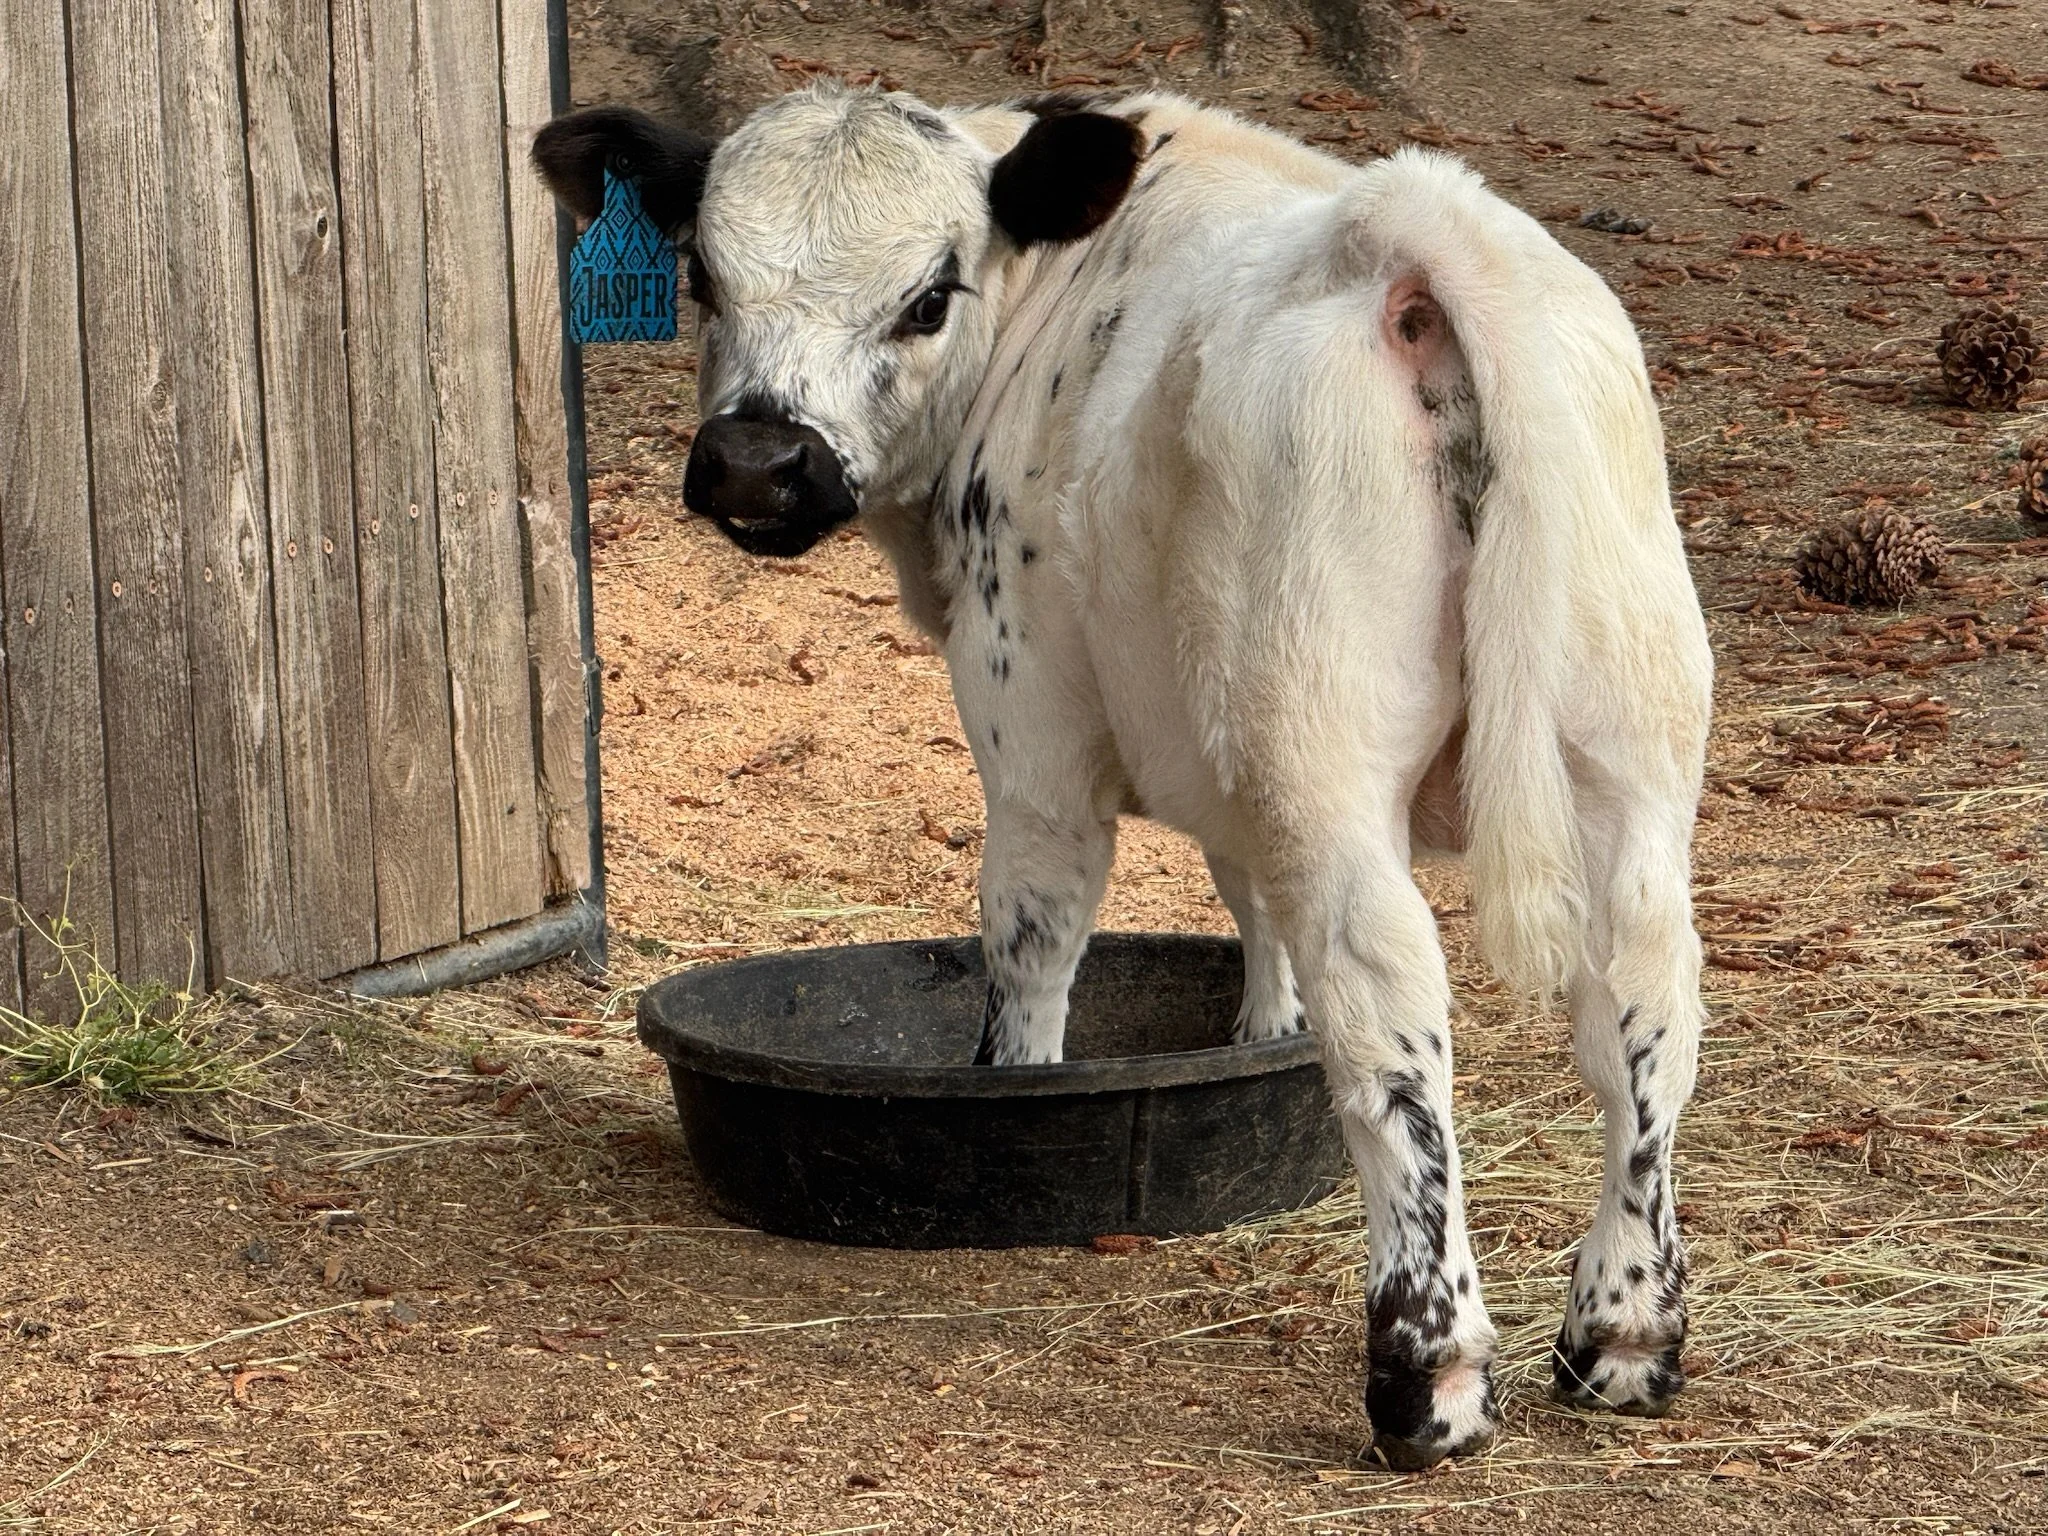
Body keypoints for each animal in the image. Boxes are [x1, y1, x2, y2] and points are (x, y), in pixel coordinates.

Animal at [534, 85, 1714, 1470]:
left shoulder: (1035, 742)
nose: (758, 464)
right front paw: (1258, 1035)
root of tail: (1410, 243)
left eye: (926, 298)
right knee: (1640, 995)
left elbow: (1033, 946)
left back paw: (1429, 1377)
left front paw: (1014, 1105)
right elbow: (1257, 935)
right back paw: (1623, 1334)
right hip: (1624, 748)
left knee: (1387, 1011)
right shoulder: (1223, 769)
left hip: (1323, 753)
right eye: (701, 276)